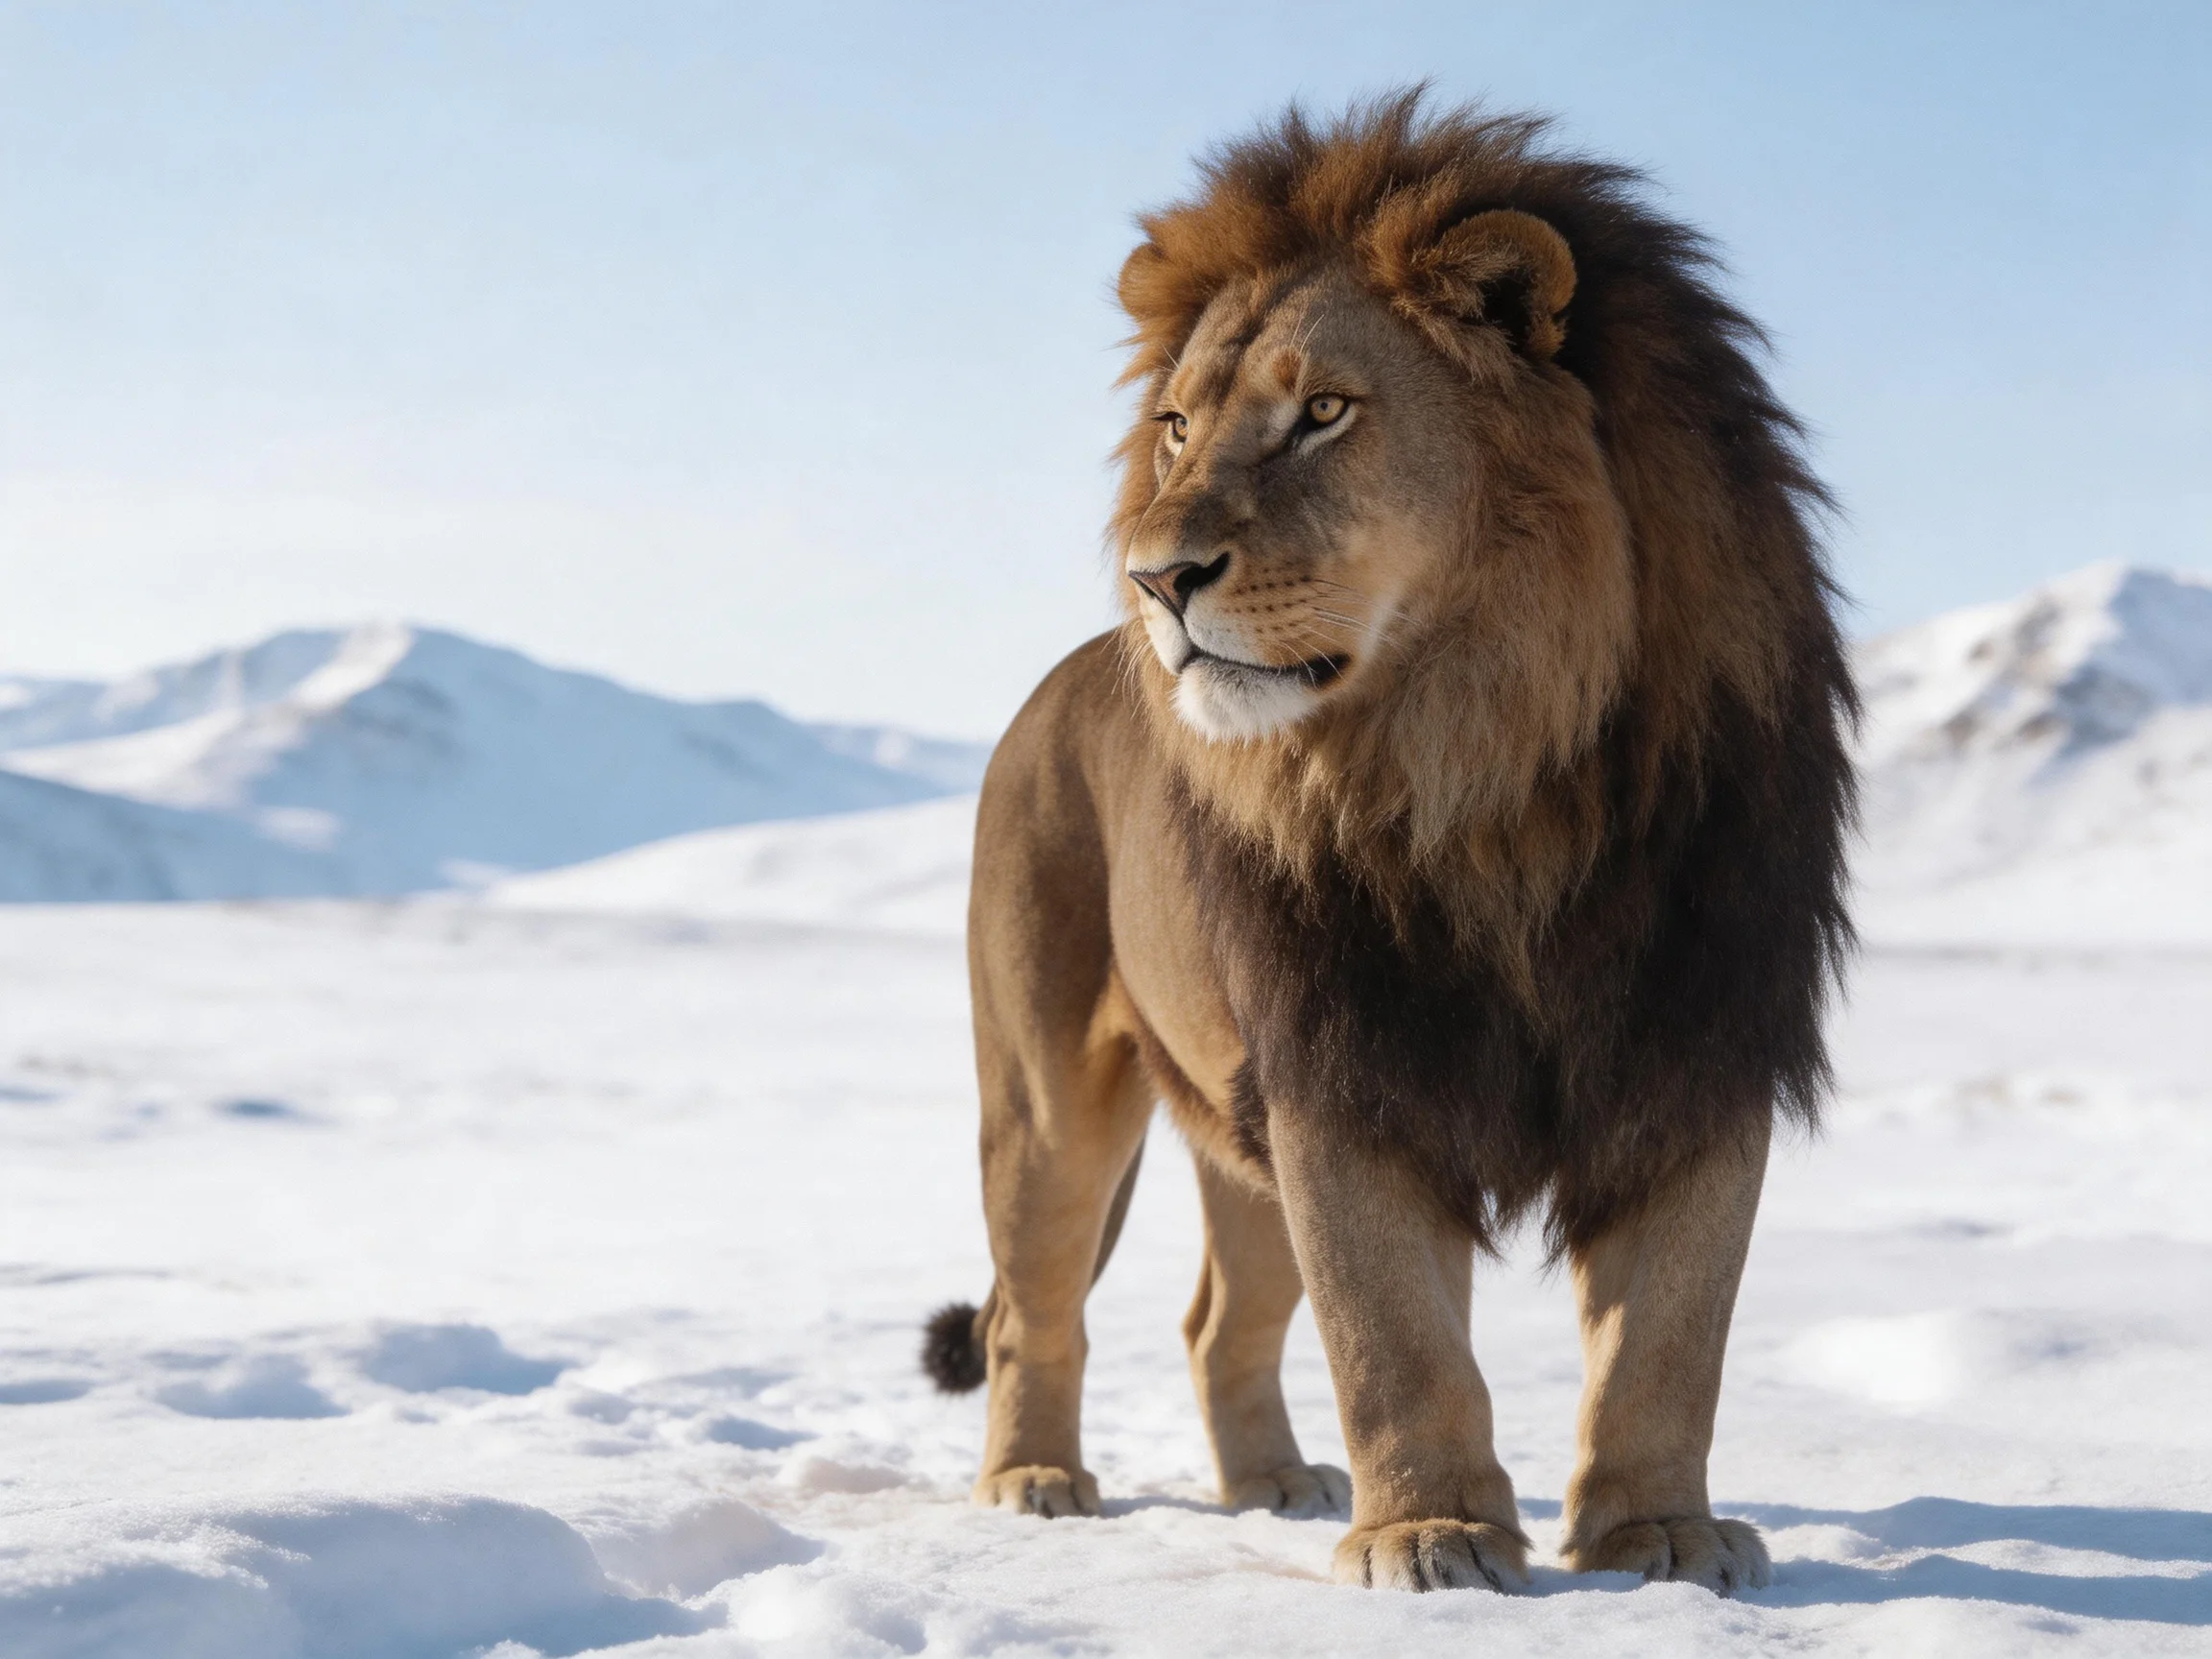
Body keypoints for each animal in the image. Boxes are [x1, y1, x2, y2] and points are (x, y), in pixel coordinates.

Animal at [921, 91, 1855, 1597]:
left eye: (1323, 412)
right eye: (1175, 428)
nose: (1154, 577)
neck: (1486, 766)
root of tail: (1053, 688)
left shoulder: (1702, 1044)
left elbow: (1670, 1336)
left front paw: (1657, 1537)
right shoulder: (1343, 1064)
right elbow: (1392, 1334)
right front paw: (1433, 1536)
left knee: (1217, 1320)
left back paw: (1272, 1488)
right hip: (1049, 1092)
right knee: (1030, 1309)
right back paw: (1035, 1484)